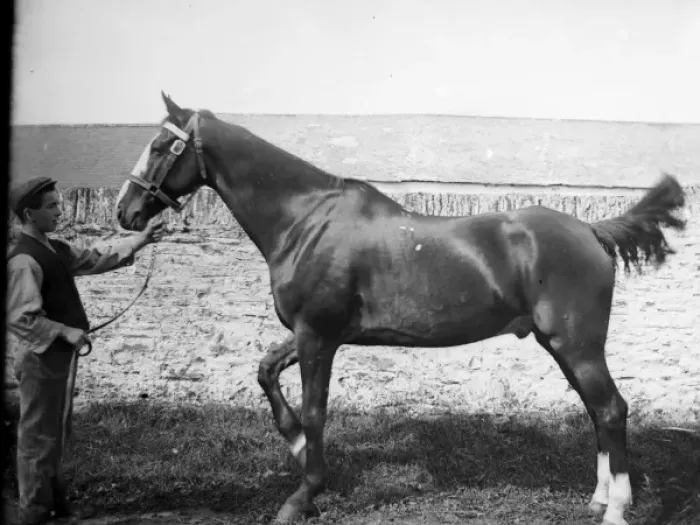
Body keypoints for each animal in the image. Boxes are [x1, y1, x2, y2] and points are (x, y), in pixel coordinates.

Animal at [115, 92, 687, 525]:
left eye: (162, 145)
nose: (126, 211)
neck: (305, 219)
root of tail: (590, 229)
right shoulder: (313, 333)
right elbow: (266, 371)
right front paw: (297, 447)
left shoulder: (317, 335)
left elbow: (317, 410)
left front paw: (303, 494)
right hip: (562, 345)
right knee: (597, 412)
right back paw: (598, 498)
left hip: (577, 344)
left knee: (611, 410)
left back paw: (616, 509)